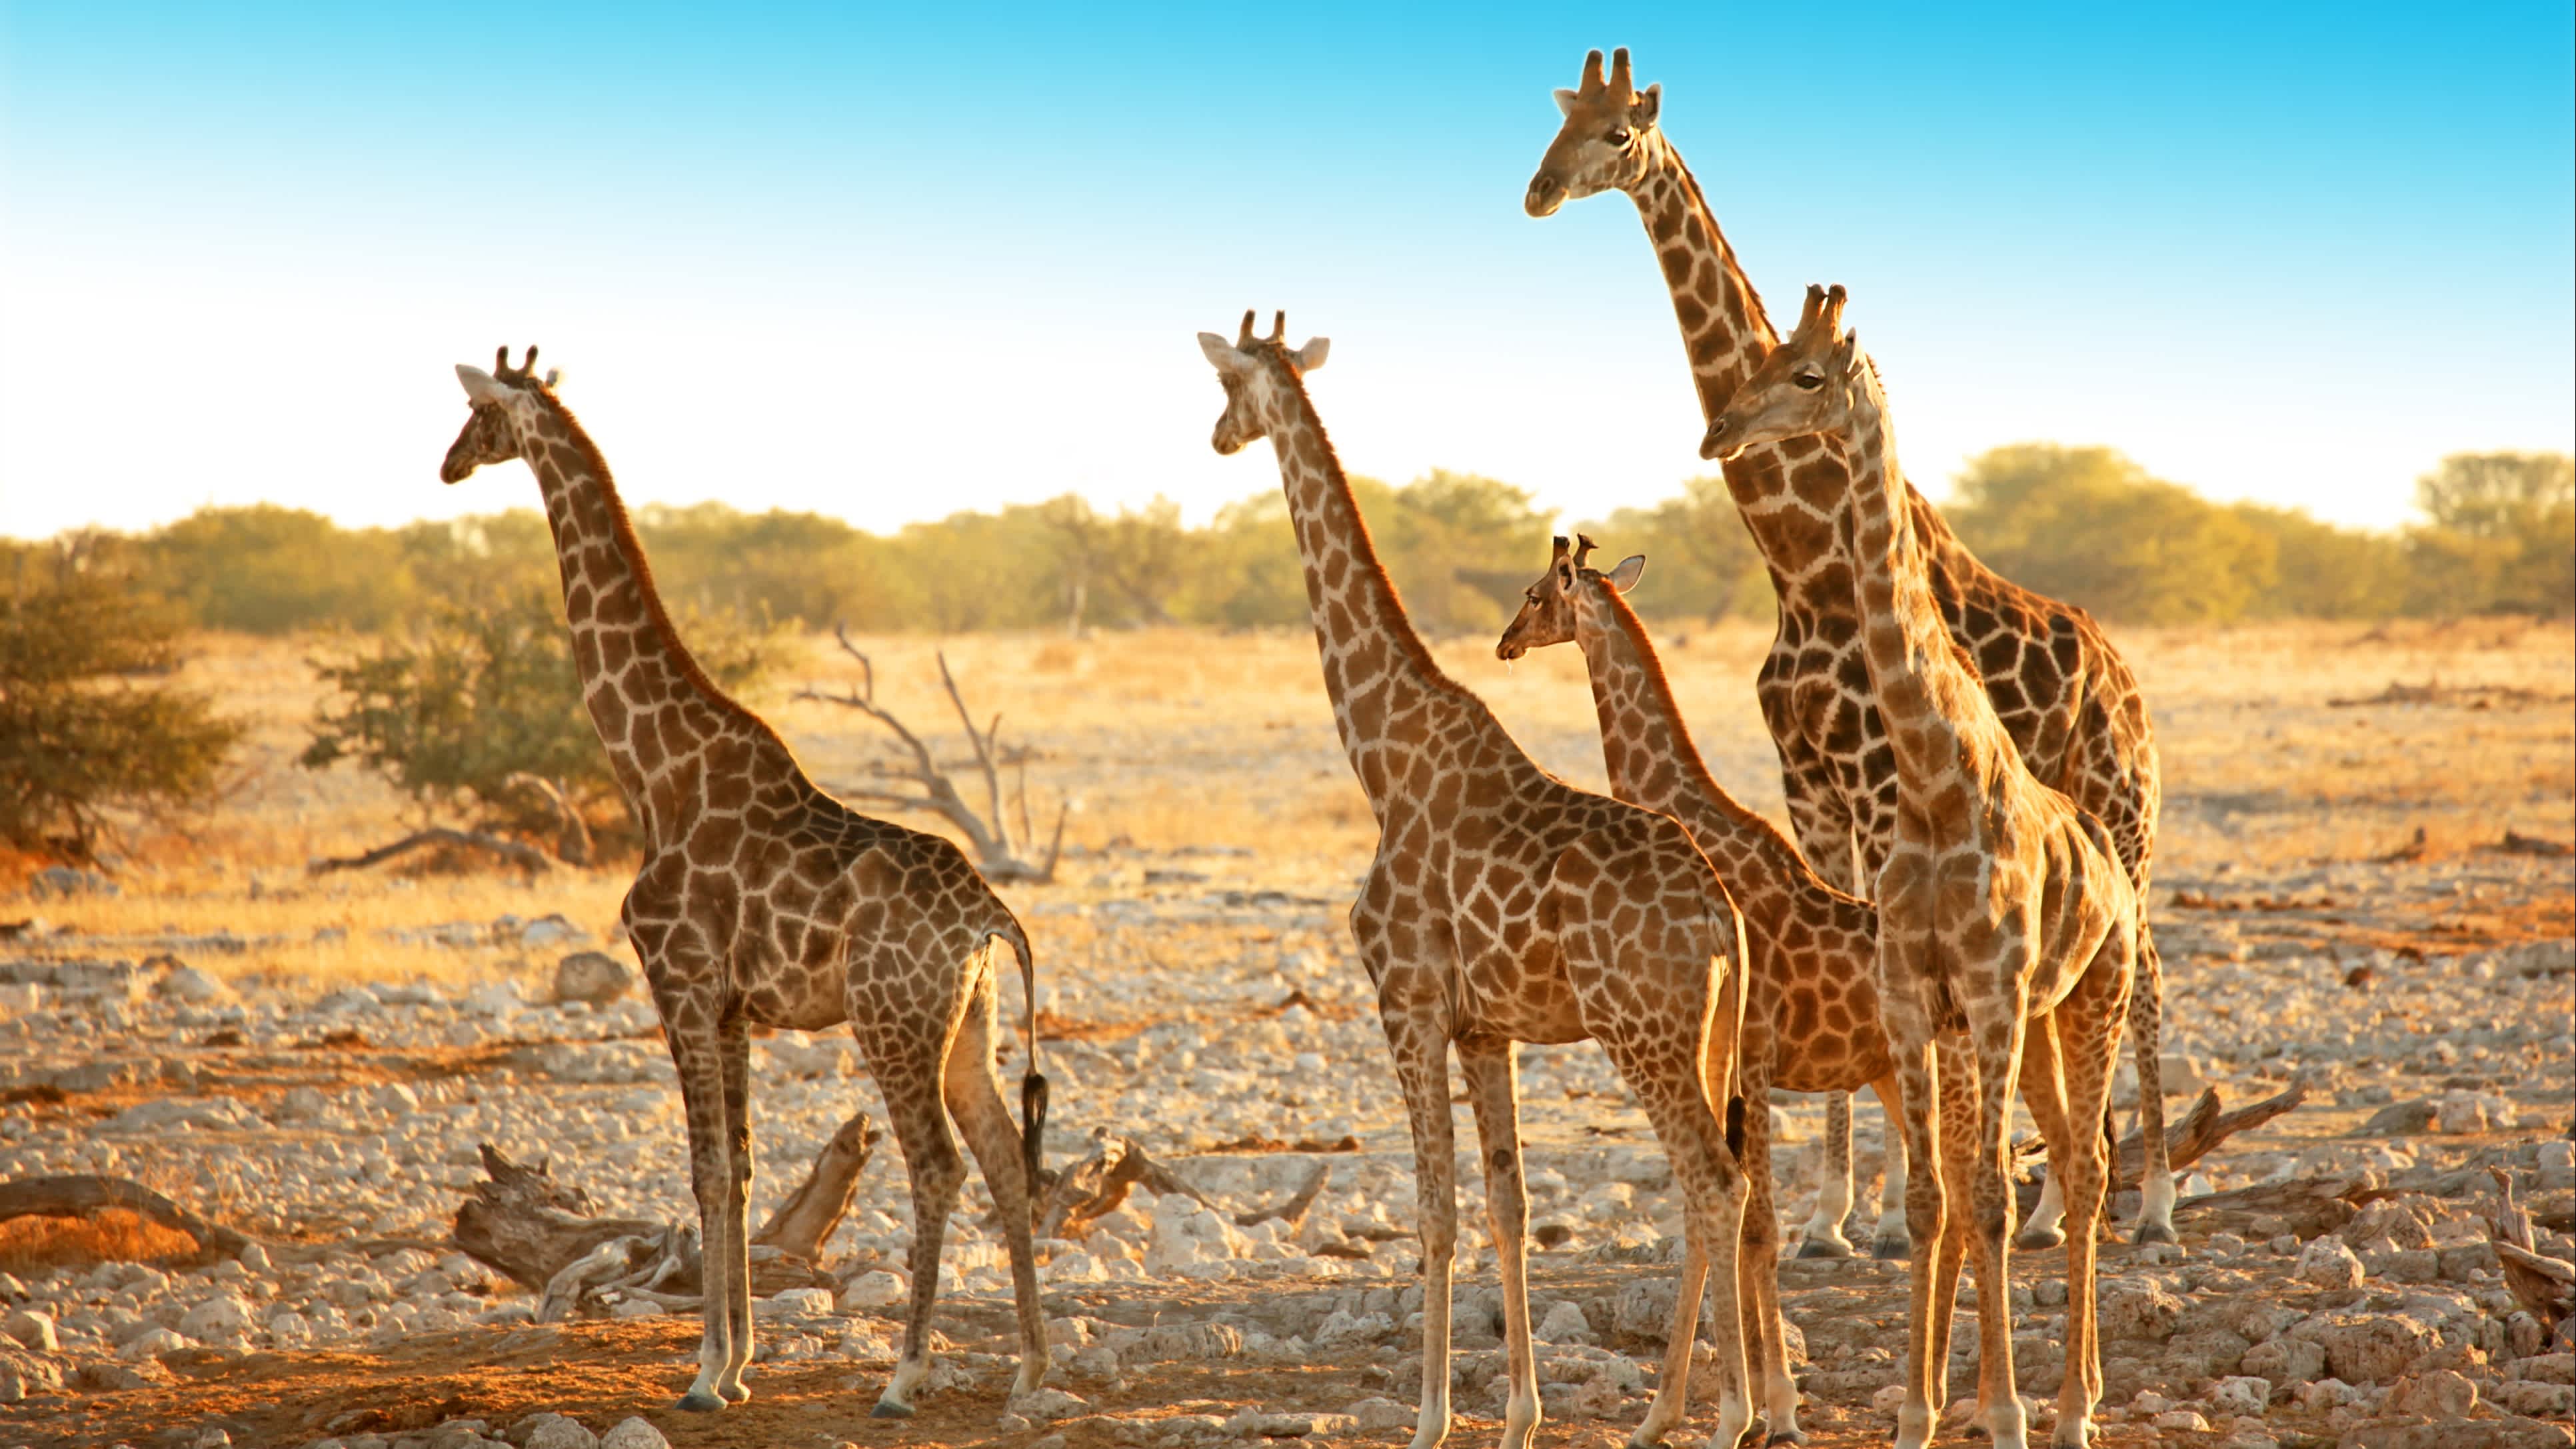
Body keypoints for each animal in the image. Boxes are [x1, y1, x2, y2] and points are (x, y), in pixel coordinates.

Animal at [440, 351, 1046, 1412]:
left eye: (478, 413)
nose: (446, 464)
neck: (655, 771)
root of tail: (990, 915)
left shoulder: (677, 979)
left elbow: (707, 1166)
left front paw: (705, 1373)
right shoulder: (731, 1005)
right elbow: (747, 1166)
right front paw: (738, 1361)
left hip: (890, 1019)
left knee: (937, 1165)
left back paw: (904, 1376)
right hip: (967, 1023)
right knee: (1005, 1157)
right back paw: (1029, 1368)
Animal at [1195, 313, 1762, 1444]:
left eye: (1228, 385)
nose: (1216, 436)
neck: (1378, 754)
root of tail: (1722, 918)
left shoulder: (1405, 1000)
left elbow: (1435, 1211)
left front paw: (1428, 1417)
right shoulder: (1484, 1025)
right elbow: (1509, 1205)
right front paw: (1519, 1413)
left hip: (1642, 1033)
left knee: (1714, 1180)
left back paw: (1729, 1415)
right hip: (1709, 1038)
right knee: (1717, 1183)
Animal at [1504, 536, 1906, 1433]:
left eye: (1536, 592)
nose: (1504, 643)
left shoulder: (1750, 1049)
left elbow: (1752, 1222)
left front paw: (1773, 1407)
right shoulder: (1734, 1060)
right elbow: (1718, 1216)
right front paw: (1713, 1406)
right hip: (1903, 1076)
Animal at [1525, 45, 2174, 1242]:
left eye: (1616, 134)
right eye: (1555, 121)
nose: (1538, 192)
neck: (1800, 559)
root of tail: (2122, 675)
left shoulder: (1874, 781)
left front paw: (1878, 1212)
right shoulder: (1811, 790)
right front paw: (1838, 1213)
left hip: (2123, 806)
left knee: (2145, 968)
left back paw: (2149, 1200)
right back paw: (2056, 1200)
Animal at [1710, 285, 2133, 1444]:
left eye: (1809, 375)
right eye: (1764, 356)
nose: (1720, 432)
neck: (1938, 779)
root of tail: (2110, 861)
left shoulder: (1987, 991)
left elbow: (1988, 1194)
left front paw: (2005, 1411)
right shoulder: (1913, 994)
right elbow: (1930, 1197)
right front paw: (1915, 1409)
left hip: (2092, 995)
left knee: (2087, 1168)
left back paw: (2073, 1406)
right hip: (2034, 1020)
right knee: (2050, 1157)